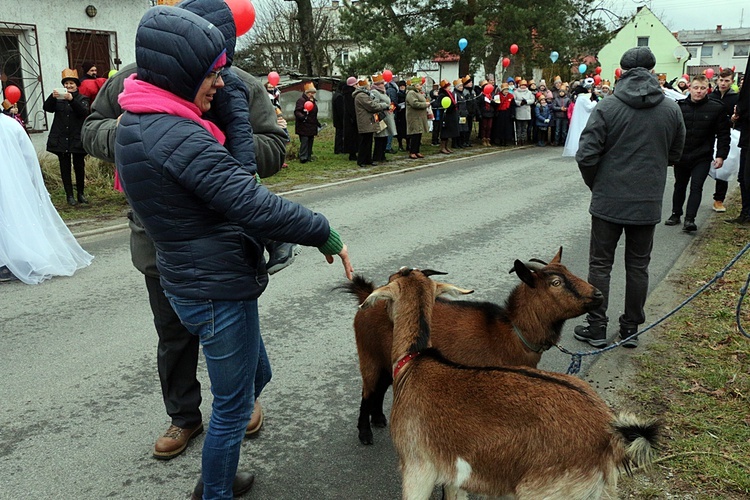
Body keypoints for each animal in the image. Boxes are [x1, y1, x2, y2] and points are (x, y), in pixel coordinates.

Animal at [344, 248, 608, 444]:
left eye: (568, 272)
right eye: (555, 282)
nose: (598, 294)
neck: (510, 331)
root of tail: (368, 295)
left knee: (379, 388)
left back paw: (378, 418)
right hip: (368, 355)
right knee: (368, 390)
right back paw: (365, 433)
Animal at [364, 270, 664, 500]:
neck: (414, 363)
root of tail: (609, 431)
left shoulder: (417, 468)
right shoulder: (453, 476)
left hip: (544, 493)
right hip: (602, 492)